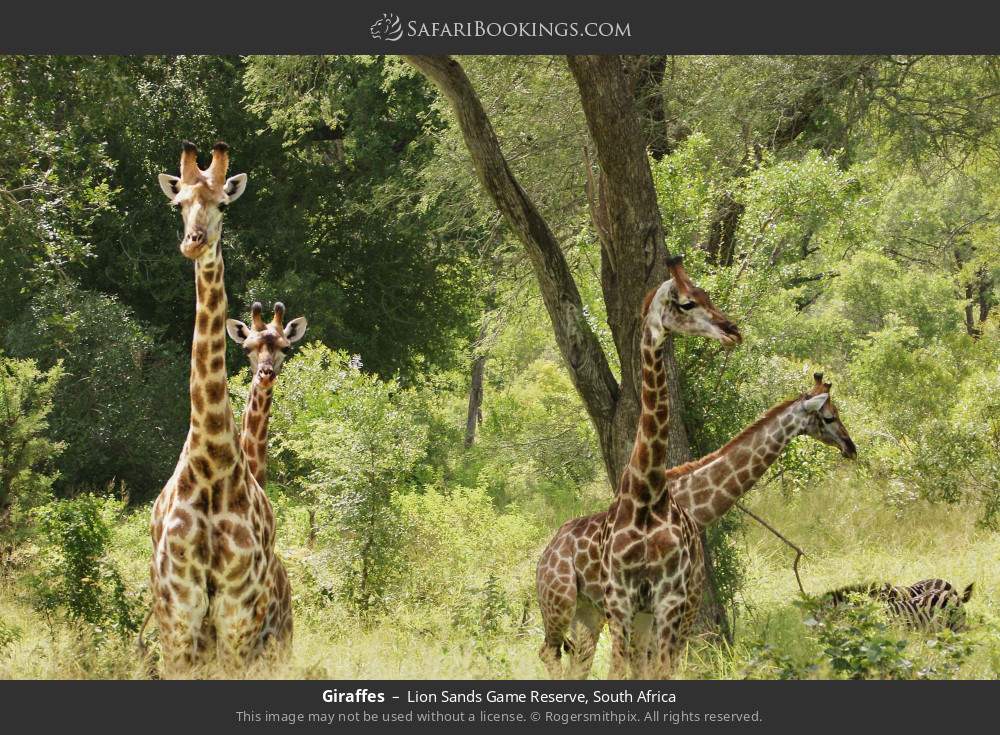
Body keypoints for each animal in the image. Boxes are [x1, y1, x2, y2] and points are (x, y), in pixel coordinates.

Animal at [149, 141, 285, 674]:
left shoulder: (237, 610)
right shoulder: (178, 610)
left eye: (223, 205)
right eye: (178, 203)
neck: (210, 462)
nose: (193, 242)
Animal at [536, 373, 857, 678]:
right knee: (548, 652)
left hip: (588, 612)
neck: (694, 505)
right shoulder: (683, 603)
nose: (850, 447)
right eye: (829, 416)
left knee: (579, 660)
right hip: (560, 603)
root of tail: (545, 554)